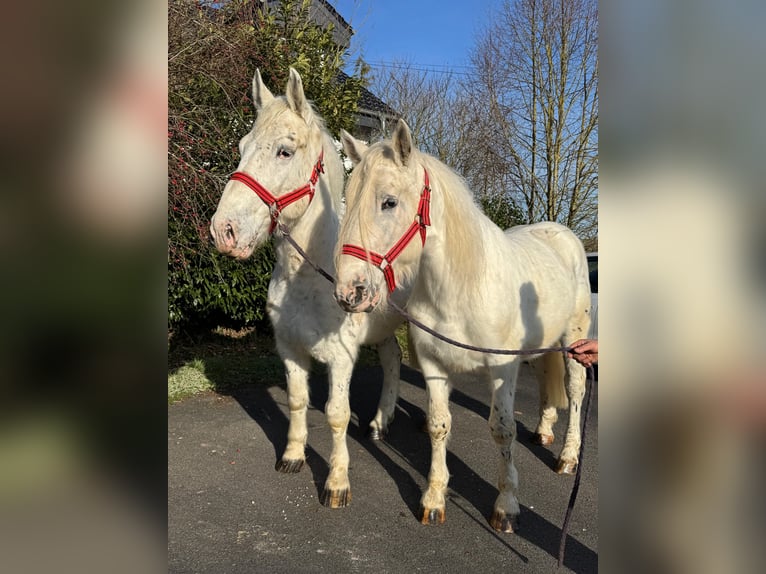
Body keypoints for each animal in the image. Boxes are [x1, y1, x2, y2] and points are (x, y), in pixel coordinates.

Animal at [209, 68, 410, 508]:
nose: (223, 231)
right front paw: (292, 456)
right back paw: (379, 423)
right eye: (241, 146)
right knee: (392, 359)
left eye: (285, 151)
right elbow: (298, 401)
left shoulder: (341, 357)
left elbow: (336, 414)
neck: (308, 276)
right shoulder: (290, 350)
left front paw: (336, 483)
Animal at [333, 119, 591, 531]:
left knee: (577, 391)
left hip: (574, 341)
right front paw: (434, 499)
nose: (349, 291)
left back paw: (568, 457)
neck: (463, 287)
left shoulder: (502, 369)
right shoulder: (435, 366)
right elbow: (439, 425)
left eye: (389, 202)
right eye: (349, 197)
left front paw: (506, 506)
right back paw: (544, 431)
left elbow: (503, 430)